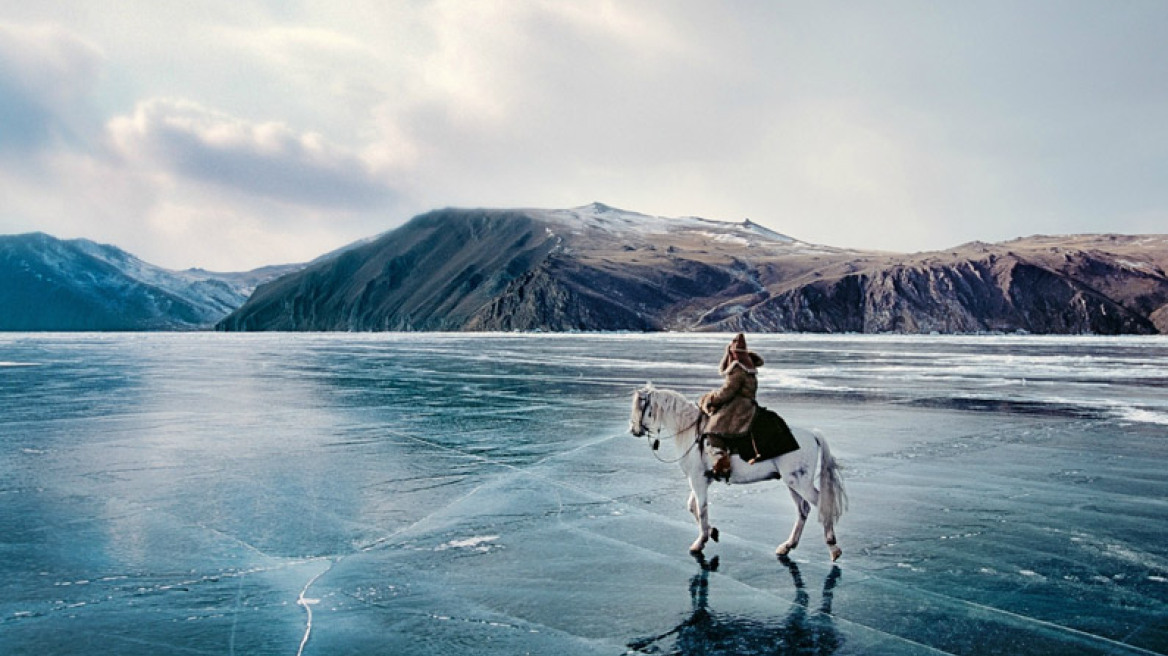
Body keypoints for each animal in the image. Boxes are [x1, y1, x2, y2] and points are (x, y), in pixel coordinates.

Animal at [630, 385, 850, 560]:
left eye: (640, 406)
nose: (634, 431)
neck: (692, 432)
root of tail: (812, 434)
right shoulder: (702, 479)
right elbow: (693, 507)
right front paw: (712, 532)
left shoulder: (698, 480)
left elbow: (701, 509)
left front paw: (699, 543)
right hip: (792, 483)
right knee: (803, 510)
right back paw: (787, 547)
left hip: (800, 483)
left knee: (822, 503)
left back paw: (833, 547)